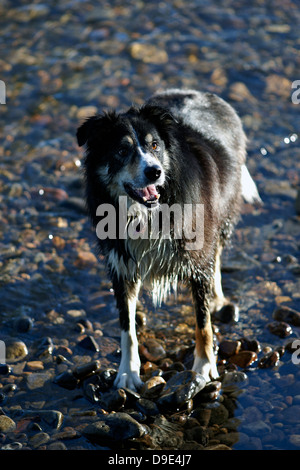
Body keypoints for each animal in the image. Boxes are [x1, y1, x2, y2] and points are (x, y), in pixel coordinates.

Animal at [76, 90, 262, 392]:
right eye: (122, 150)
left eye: (154, 146)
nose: (154, 172)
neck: (147, 213)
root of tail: (203, 94)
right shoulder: (121, 263)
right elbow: (126, 327)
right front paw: (128, 372)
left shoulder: (198, 255)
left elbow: (202, 322)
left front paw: (204, 367)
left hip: (222, 218)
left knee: (217, 258)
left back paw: (217, 298)